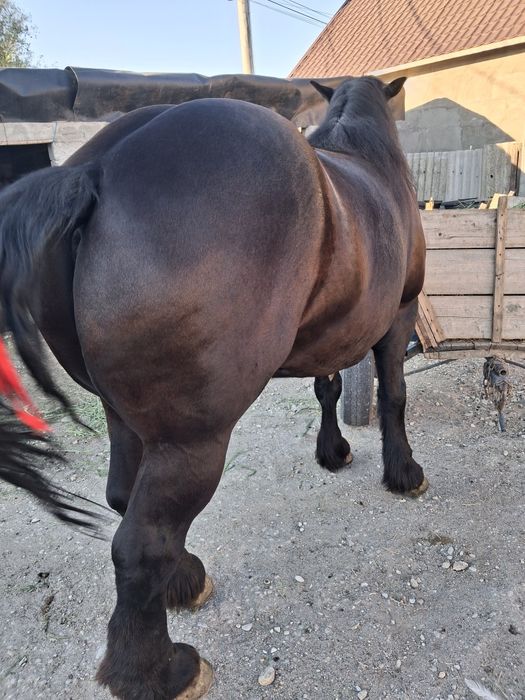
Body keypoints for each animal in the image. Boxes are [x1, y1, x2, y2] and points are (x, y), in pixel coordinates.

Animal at [0, 75, 426, 699]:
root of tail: (98, 170)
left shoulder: (329, 336)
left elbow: (326, 391)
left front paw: (333, 451)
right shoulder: (400, 315)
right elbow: (394, 395)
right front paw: (403, 472)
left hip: (126, 417)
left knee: (126, 499)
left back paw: (185, 580)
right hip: (194, 439)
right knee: (140, 543)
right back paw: (157, 671)